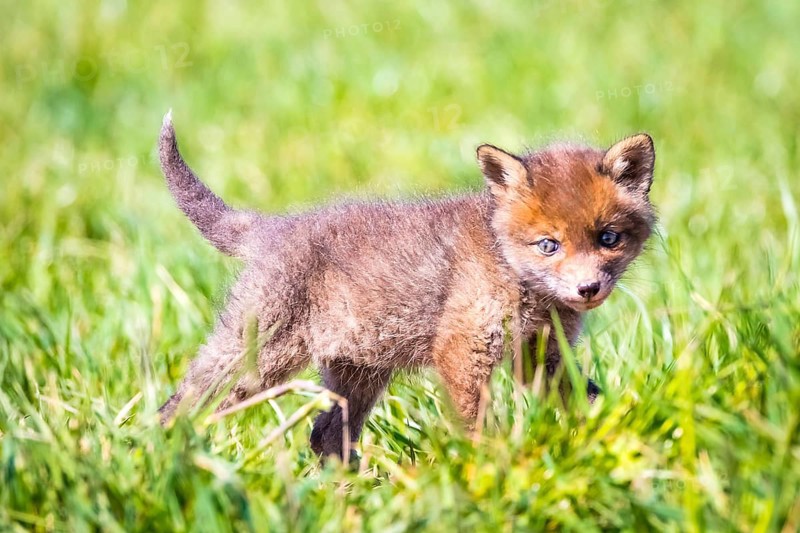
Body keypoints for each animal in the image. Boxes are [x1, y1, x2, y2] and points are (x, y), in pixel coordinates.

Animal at [156, 111, 656, 460]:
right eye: (549, 245)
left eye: (608, 238)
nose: (588, 289)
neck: (512, 272)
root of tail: (270, 227)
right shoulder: (462, 349)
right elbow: (475, 423)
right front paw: (485, 466)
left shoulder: (542, 355)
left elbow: (586, 397)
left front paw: (616, 431)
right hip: (255, 361)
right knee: (180, 406)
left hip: (357, 375)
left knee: (325, 437)